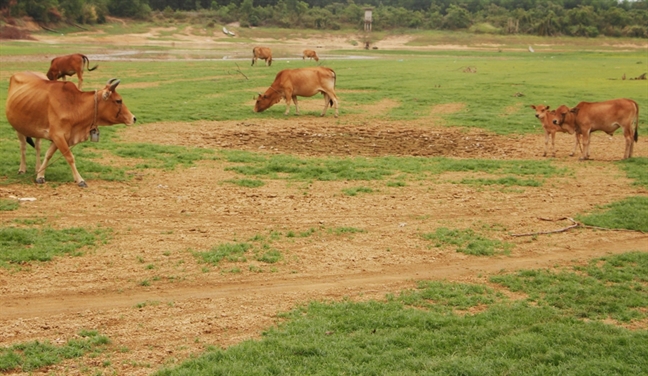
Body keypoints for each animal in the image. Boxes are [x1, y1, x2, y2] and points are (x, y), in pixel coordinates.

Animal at [5, 71, 137, 187]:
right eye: (118, 100)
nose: (133, 118)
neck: (73, 105)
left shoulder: (59, 138)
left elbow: (48, 155)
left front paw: (40, 176)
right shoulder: (58, 136)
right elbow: (70, 157)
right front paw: (80, 180)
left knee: (37, 147)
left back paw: (37, 168)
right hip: (19, 128)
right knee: (23, 147)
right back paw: (22, 169)